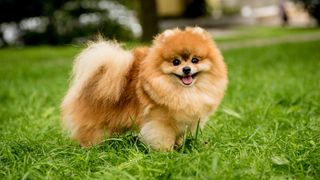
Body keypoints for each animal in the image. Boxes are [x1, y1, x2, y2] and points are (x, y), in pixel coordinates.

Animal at [61, 26, 228, 150]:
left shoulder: (184, 120)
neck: (183, 91)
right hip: (95, 124)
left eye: (195, 60)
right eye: (175, 61)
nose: (186, 69)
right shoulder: (160, 123)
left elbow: (179, 137)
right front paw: (167, 154)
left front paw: (179, 148)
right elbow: (164, 139)